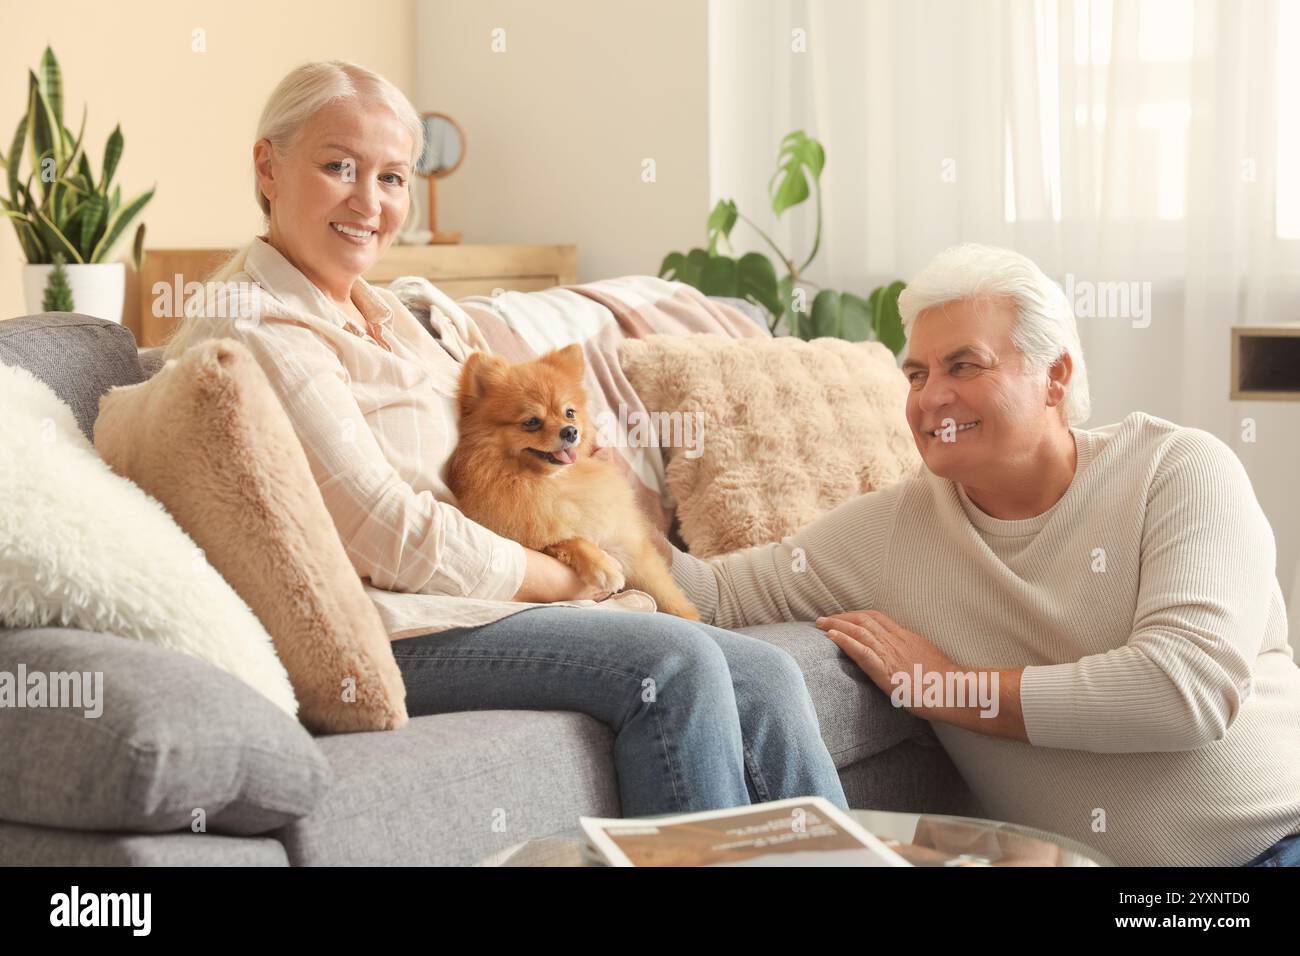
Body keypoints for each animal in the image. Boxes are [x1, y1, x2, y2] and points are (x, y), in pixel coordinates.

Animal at [449, 343, 702, 621]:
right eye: (531, 422)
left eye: (569, 413)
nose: (570, 431)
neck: (552, 483)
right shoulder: (530, 533)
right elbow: (569, 538)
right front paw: (602, 567)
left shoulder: (629, 545)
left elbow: (667, 593)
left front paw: (691, 617)